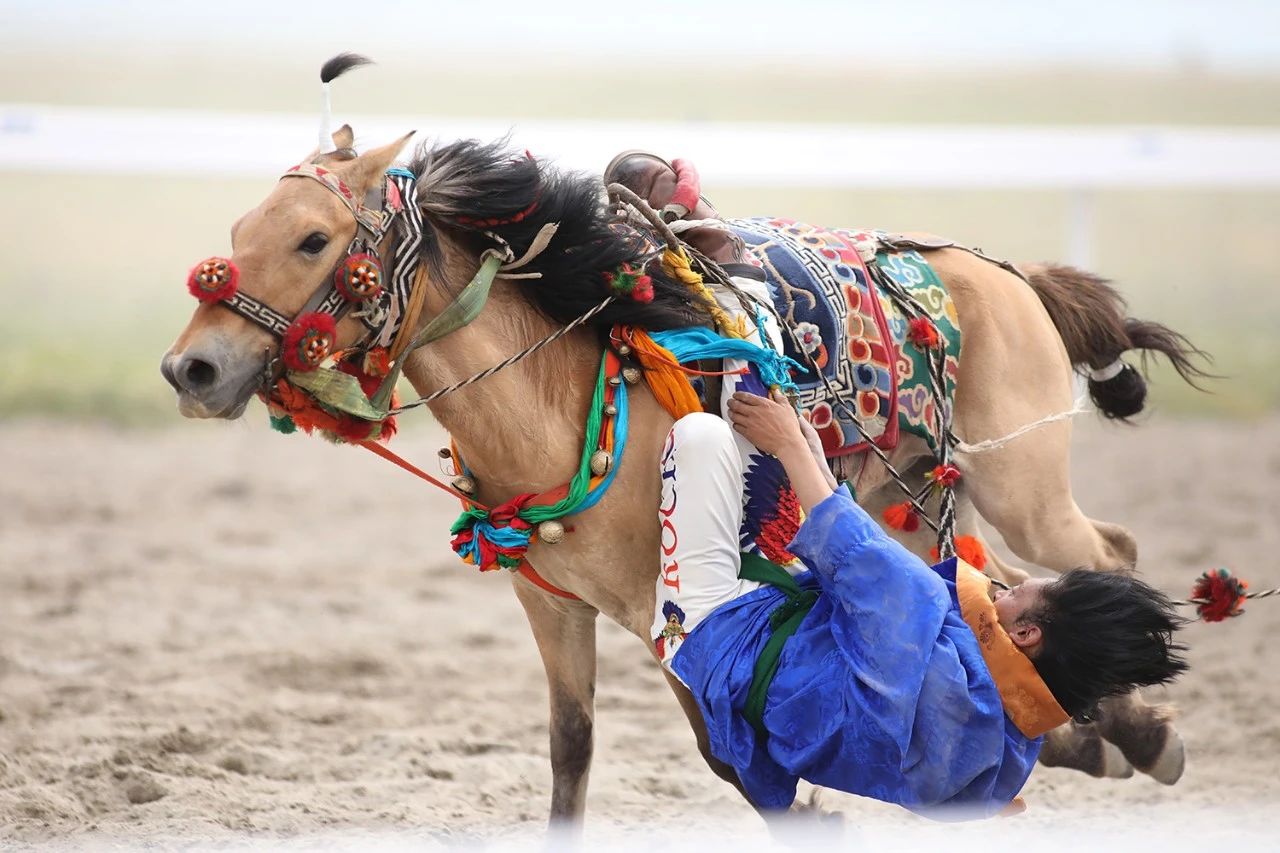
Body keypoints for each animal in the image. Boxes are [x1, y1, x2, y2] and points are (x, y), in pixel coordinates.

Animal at [162, 92, 1208, 824]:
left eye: (313, 239)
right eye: (239, 233)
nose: (192, 367)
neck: (564, 401)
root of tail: (1009, 272)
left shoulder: (674, 608)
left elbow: (729, 751)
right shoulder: (553, 605)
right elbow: (572, 751)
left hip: (1018, 487)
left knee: (1104, 552)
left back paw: (1139, 725)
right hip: (906, 503)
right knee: (984, 590)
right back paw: (1100, 732)